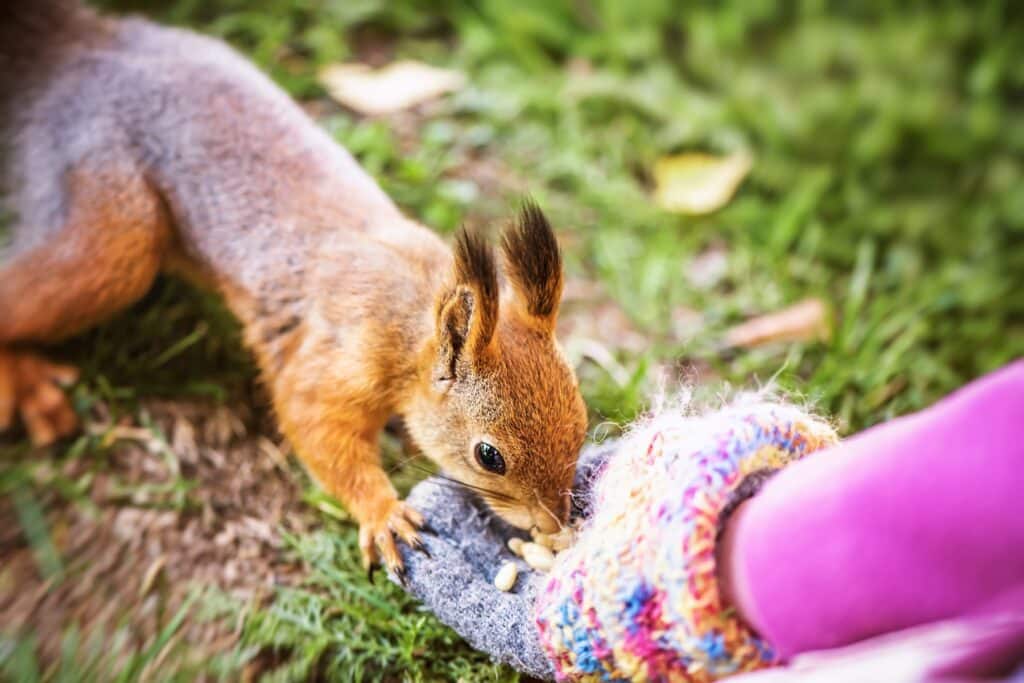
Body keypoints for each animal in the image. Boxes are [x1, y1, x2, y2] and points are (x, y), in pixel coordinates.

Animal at [0, 0, 589, 581]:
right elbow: (316, 427)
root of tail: (82, 43)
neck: (412, 310)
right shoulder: (331, 359)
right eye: (489, 456)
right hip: (114, 231)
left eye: (582, 420)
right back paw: (26, 384)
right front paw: (384, 513)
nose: (553, 522)